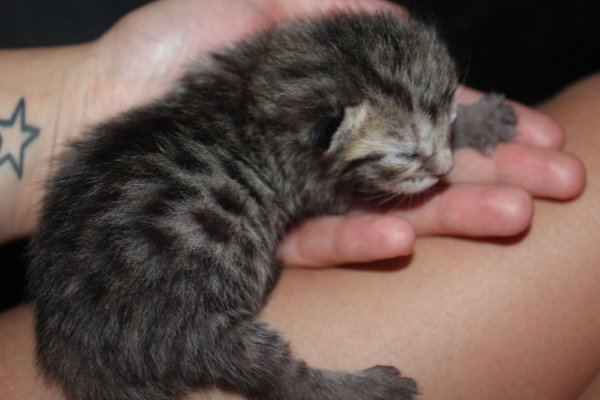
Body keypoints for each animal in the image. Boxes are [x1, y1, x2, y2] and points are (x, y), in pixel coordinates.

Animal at [28, 10, 516, 400]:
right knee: (278, 378)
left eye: (447, 122)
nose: (444, 168)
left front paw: (477, 121)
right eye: (406, 154)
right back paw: (364, 386)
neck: (257, 89)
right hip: (194, 319)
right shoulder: (314, 184)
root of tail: (77, 353)